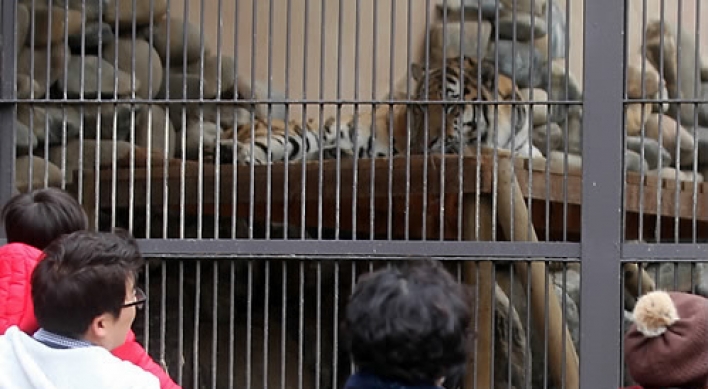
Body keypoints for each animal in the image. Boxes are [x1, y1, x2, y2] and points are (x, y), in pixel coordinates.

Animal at [218, 56, 540, 164]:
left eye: (451, 106)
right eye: (421, 109)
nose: (422, 144)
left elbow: (533, 154)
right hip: (298, 135)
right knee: (256, 150)